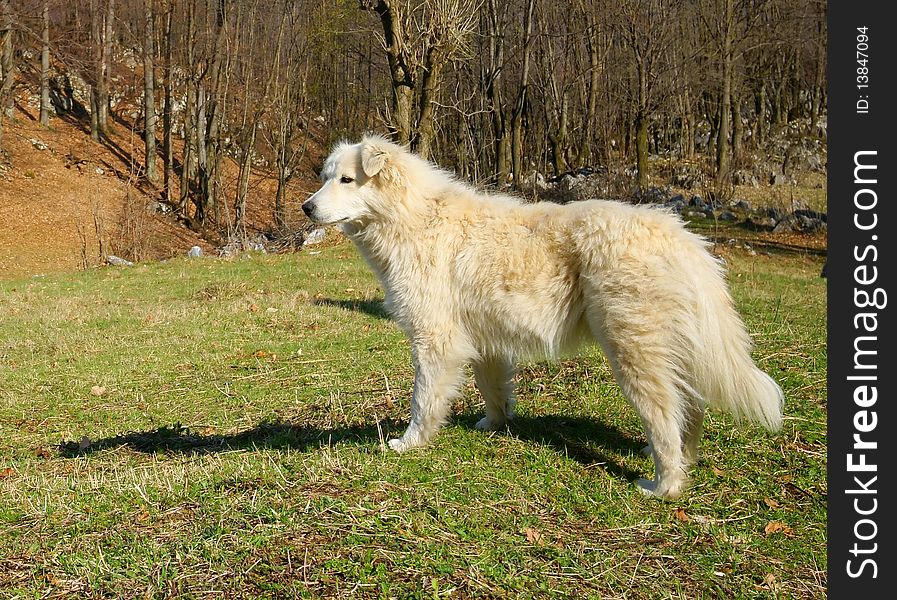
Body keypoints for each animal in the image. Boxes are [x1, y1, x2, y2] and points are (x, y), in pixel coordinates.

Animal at [300, 135, 776, 496]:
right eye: (325, 179)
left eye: (346, 179)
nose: (306, 208)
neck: (412, 217)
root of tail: (682, 236)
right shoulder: (483, 339)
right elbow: (492, 388)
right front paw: (494, 425)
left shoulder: (435, 339)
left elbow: (424, 400)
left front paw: (409, 442)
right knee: (690, 408)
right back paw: (682, 459)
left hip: (634, 350)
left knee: (665, 415)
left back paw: (664, 484)